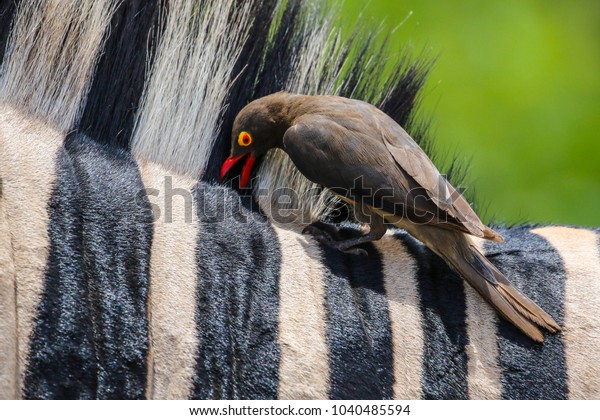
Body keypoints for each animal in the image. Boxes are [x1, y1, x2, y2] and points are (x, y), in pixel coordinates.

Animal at [0, 0, 596, 400]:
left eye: (242, 139)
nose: (229, 170)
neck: (303, 107)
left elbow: (365, 230)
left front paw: (327, 233)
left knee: (378, 230)